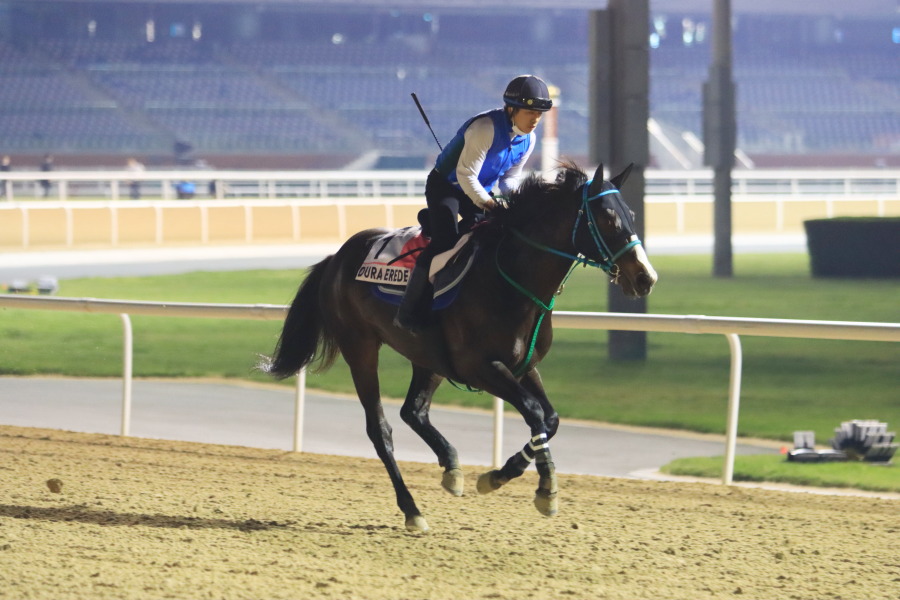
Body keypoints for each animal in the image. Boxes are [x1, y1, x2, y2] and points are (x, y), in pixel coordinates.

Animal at [264, 162, 656, 532]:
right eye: (607, 217)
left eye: (632, 215)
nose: (645, 277)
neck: (510, 279)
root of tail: (336, 258)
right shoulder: (480, 368)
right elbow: (534, 412)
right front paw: (536, 487)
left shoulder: (525, 365)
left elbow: (551, 418)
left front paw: (511, 478)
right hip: (360, 347)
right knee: (380, 429)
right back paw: (412, 510)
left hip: (427, 358)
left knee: (413, 411)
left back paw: (451, 467)